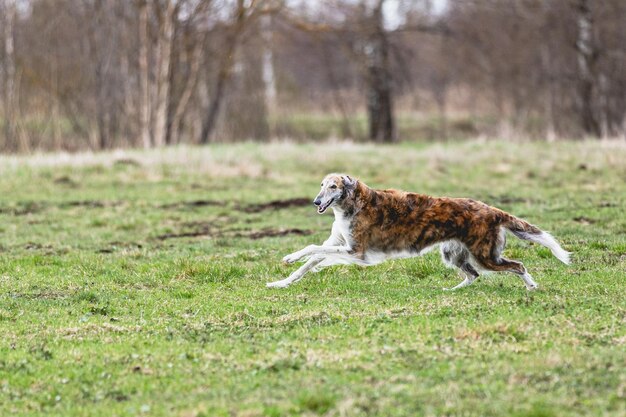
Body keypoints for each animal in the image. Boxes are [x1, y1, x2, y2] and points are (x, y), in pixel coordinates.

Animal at [266, 172, 568, 290]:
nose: (316, 202)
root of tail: (492, 210)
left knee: (517, 266)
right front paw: (280, 282)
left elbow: (313, 250)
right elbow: (309, 262)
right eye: (321, 185)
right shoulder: (341, 244)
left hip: (485, 255)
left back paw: (532, 287)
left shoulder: (356, 251)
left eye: (334, 186)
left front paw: (290, 257)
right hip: (454, 253)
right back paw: (451, 291)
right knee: (473, 275)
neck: (353, 202)